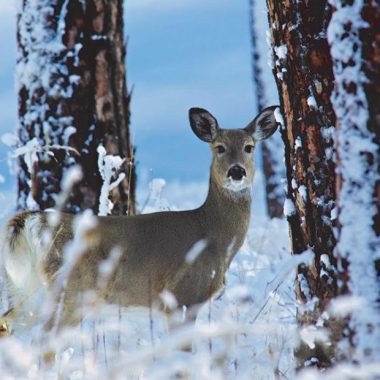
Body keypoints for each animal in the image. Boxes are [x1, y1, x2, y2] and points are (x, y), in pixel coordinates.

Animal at [0, 104, 280, 336]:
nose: (237, 171)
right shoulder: (182, 296)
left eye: (249, 147)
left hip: (24, 289)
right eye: (219, 147)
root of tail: (32, 220)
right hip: (71, 291)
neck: (211, 234)